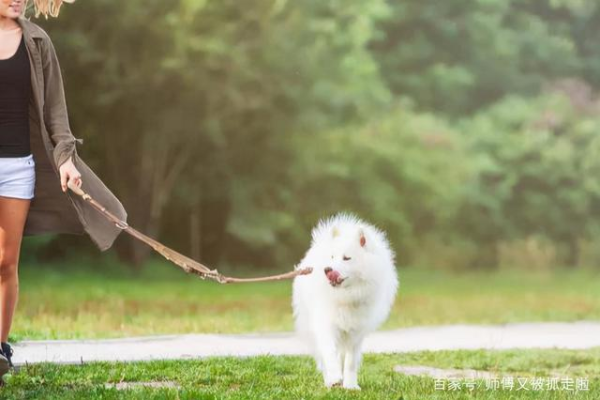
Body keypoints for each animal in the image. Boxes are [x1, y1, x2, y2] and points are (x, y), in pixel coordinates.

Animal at [292, 214, 398, 390]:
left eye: (347, 258)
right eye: (332, 257)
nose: (327, 269)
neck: (347, 296)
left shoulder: (356, 332)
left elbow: (350, 362)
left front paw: (350, 385)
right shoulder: (326, 325)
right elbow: (329, 353)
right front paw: (334, 378)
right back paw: (329, 380)